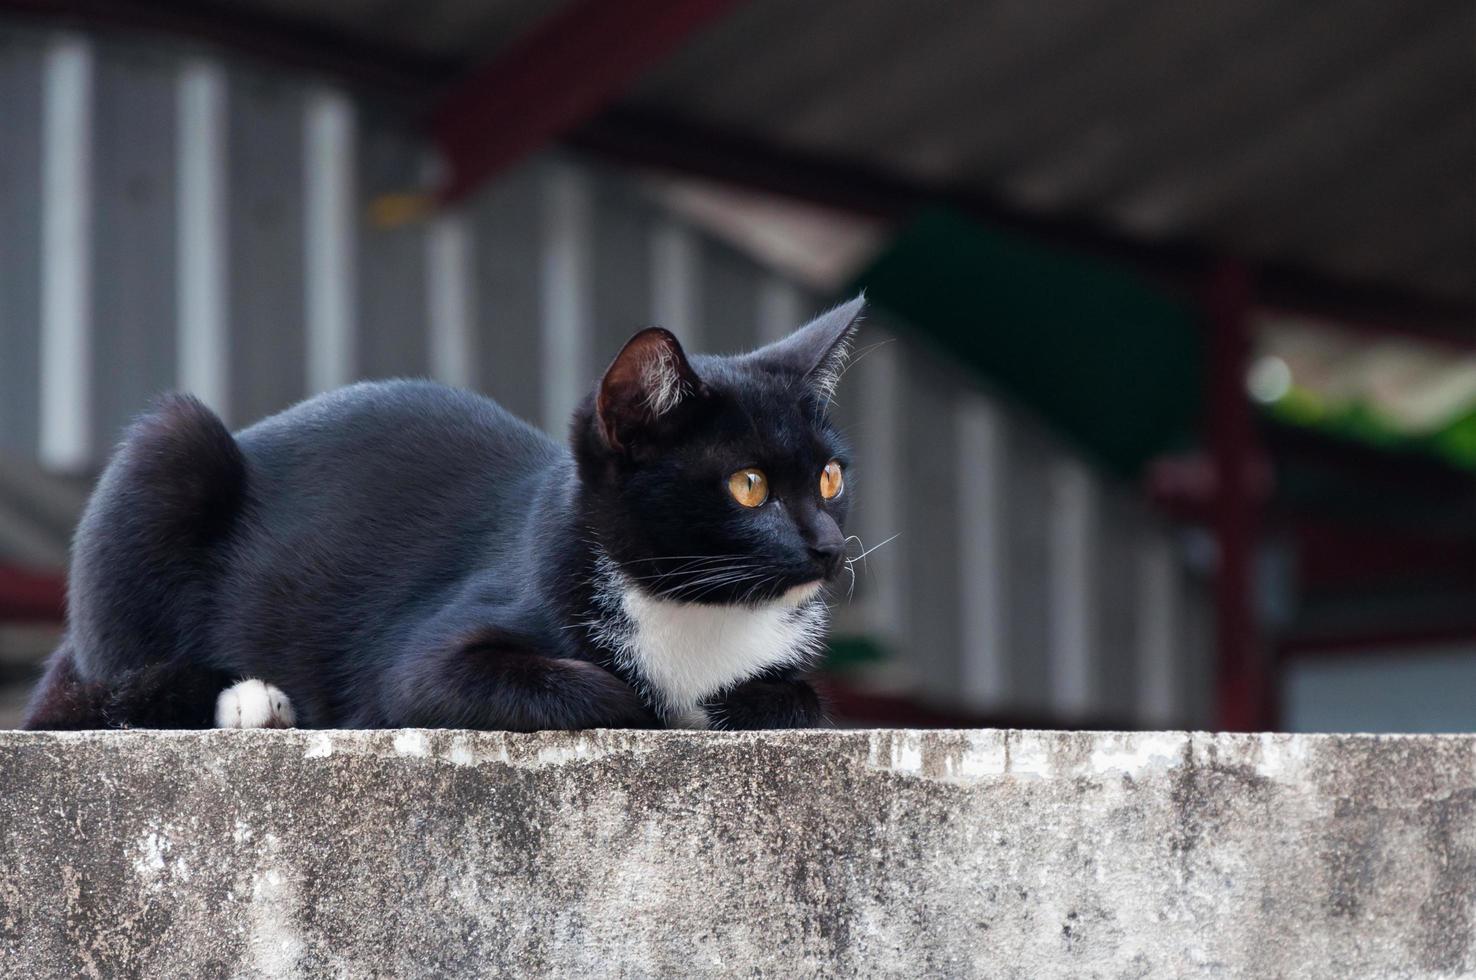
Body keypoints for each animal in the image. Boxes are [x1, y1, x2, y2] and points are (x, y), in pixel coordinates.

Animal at [23, 295, 861, 732]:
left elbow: (799, 699)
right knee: (82, 698)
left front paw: (753, 699)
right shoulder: (421, 659)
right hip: (171, 451)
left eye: (828, 479)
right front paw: (643, 704)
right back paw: (248, 698)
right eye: (747, 486)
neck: (696, 611)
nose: (830, 545)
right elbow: (463, 681)